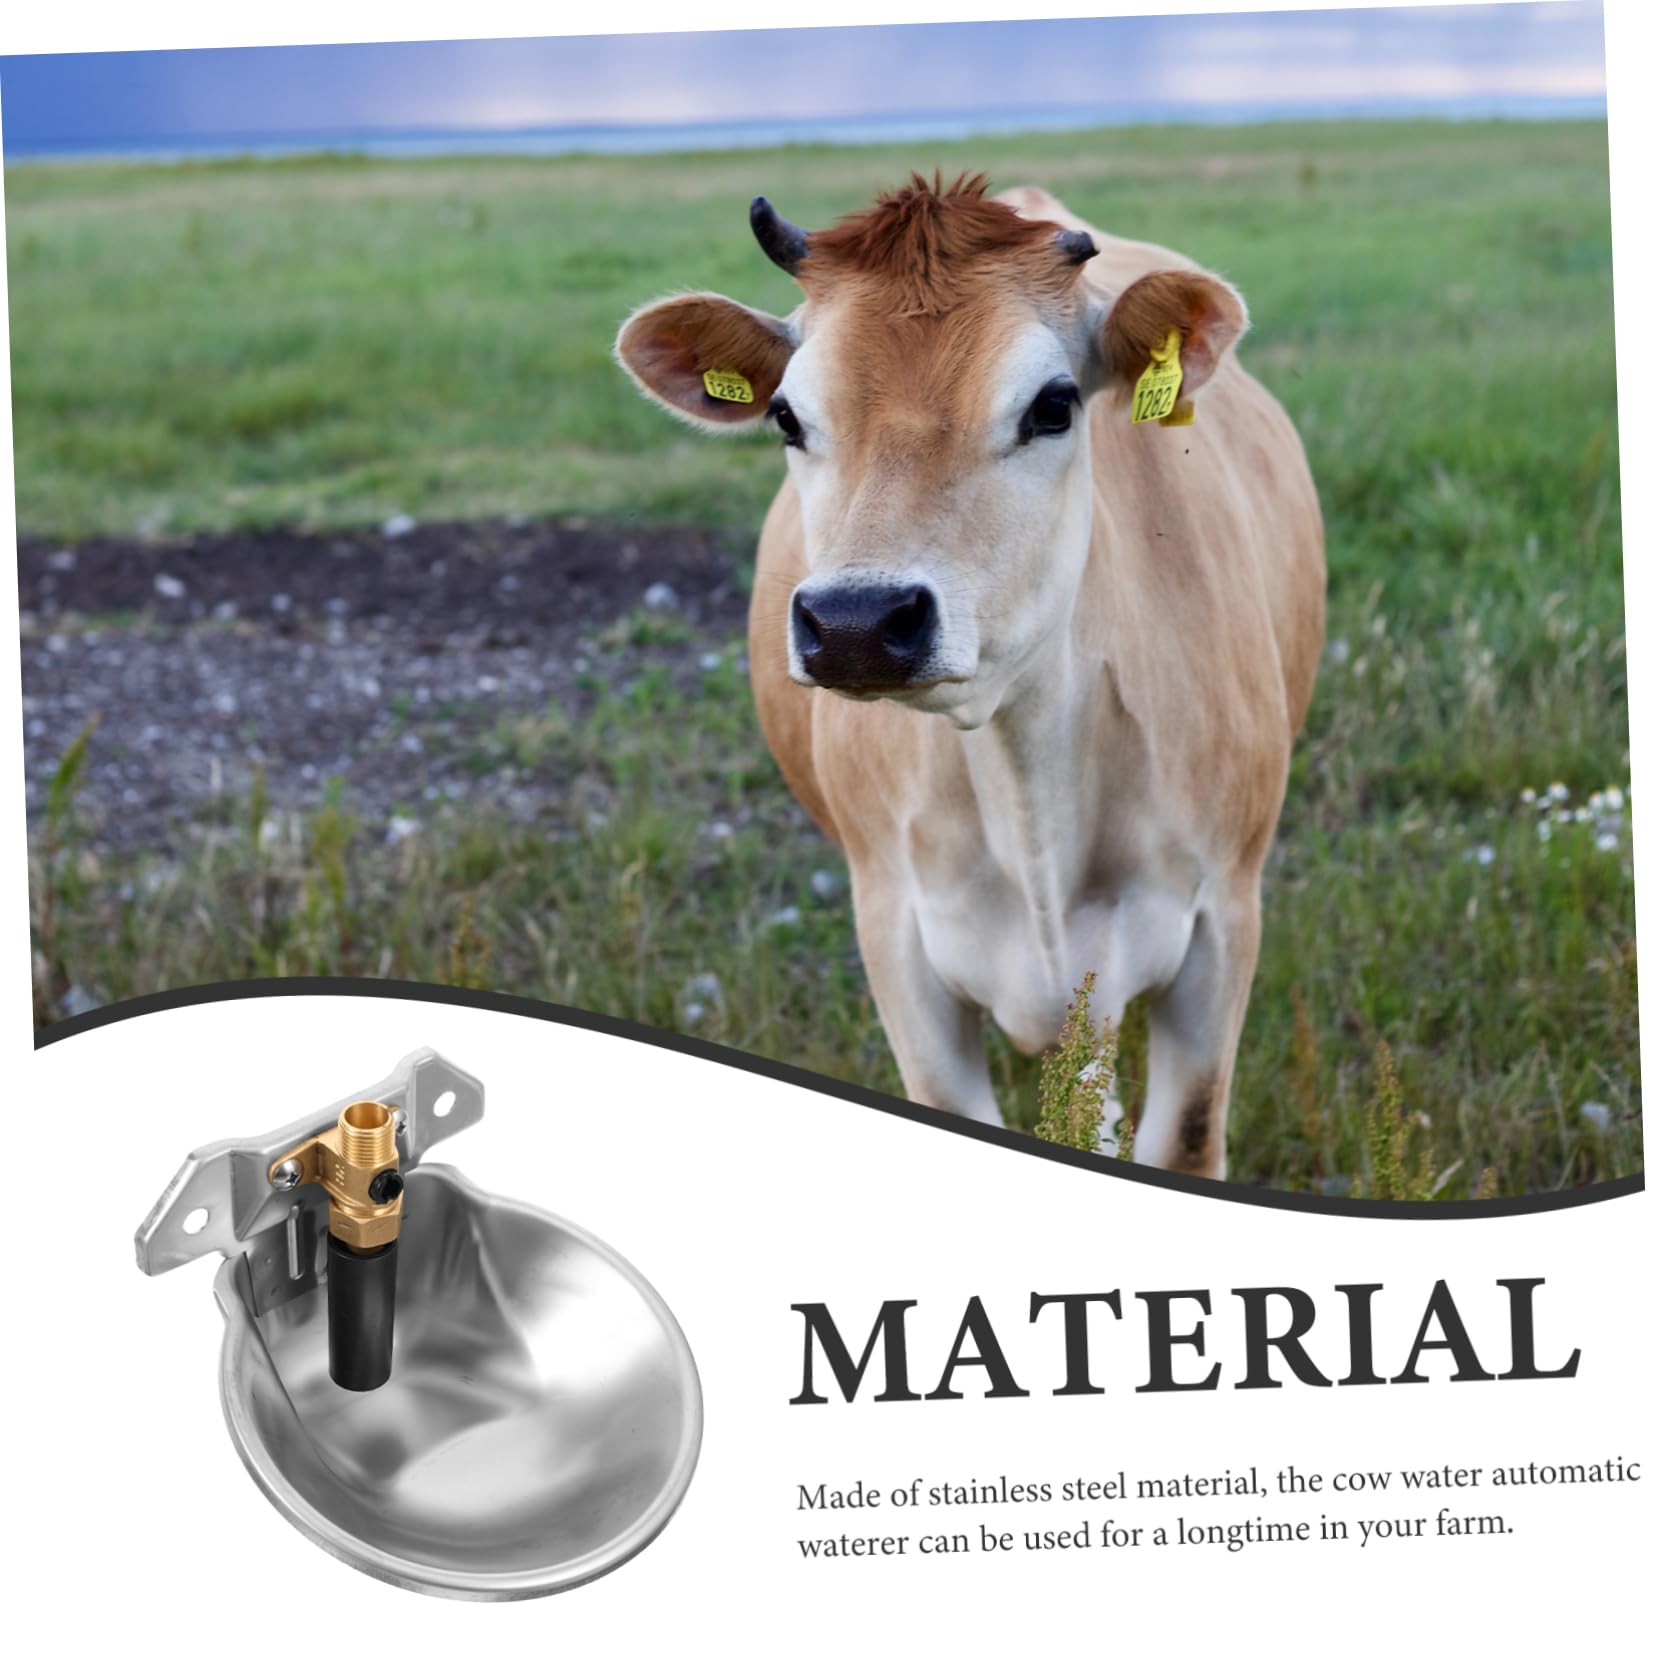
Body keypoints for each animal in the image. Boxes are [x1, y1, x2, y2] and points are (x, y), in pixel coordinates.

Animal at [616, 173, 1324, 1177]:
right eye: (787, 416)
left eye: (1054, 405)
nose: (858, 623)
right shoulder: (896, 934)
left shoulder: (1223, 919)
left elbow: (1184, 1139)